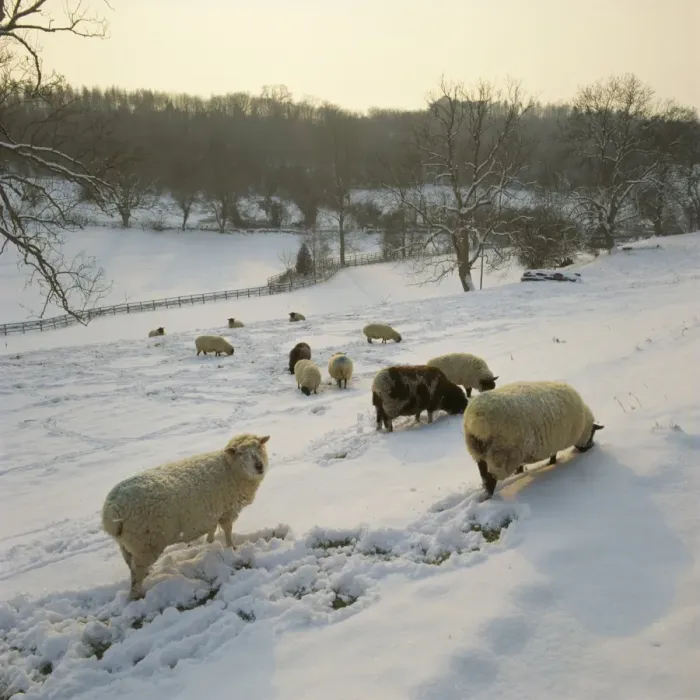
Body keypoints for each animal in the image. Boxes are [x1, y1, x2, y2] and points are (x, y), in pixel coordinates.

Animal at [101, 433, 271, 599]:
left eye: (259, 446)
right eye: (240, 453)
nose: (259, 466)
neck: (229, 468)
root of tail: (112, 510)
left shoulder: (212, 513)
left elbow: (212, 529)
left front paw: (209, 542)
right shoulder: (227, 511)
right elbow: (227, 531)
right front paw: (232, 549)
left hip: (127, 544)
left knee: (130, 563)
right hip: (146, 543)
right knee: (137, 573)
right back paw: (136, 596)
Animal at [463, 380, 605, 498]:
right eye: (593, 433)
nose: (590, 447)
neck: (583, 426)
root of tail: (476, 418)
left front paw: (520, 472)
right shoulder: (555, 441)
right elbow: (553, 455)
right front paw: (551, 463)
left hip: (477, 451)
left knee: (484, 475)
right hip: (501, 453)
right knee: (492, 477)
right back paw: (490, 497)